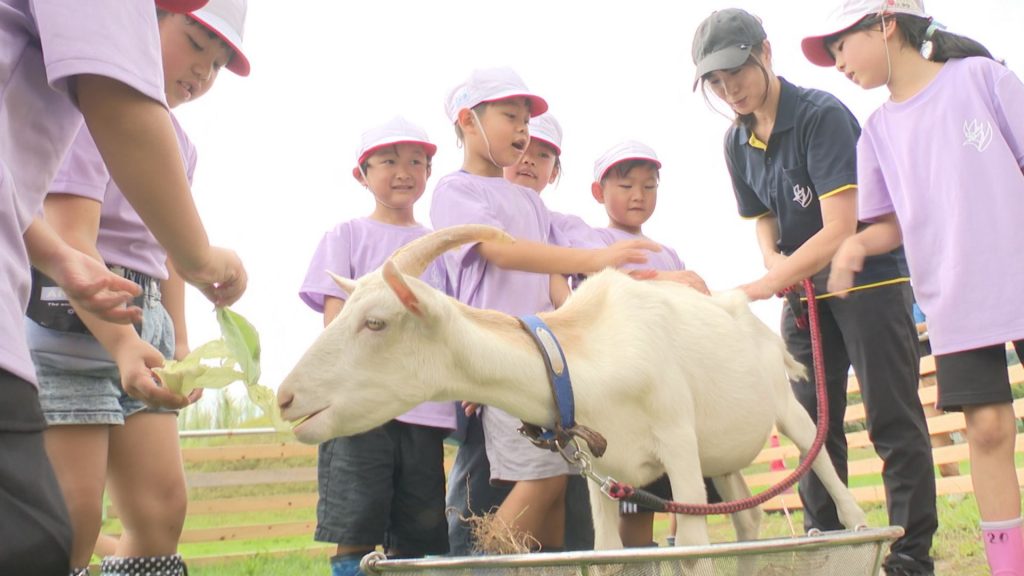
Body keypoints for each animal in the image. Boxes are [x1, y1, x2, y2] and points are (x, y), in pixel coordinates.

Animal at [278, 223, 864, 545]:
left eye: (376, 322)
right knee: (747, 520)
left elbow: (694, 544)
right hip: (718, 457)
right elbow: (606, 551)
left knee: (831, 477)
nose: (286, 398)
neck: (585, 360)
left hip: (786, 409)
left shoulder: (677, 443)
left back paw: (856, 523)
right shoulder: (604, 472)